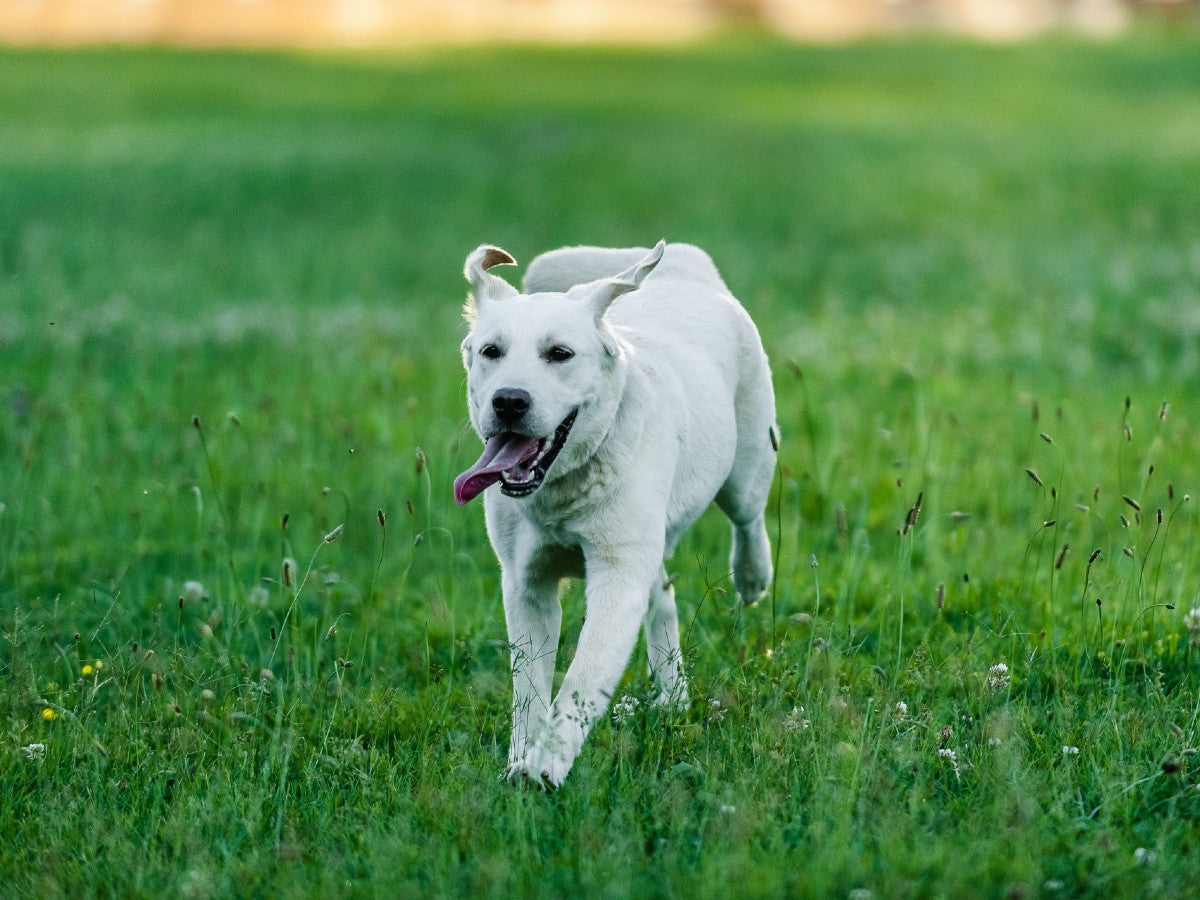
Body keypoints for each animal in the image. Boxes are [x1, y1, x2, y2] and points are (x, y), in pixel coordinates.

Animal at [451, 240, 777, 787]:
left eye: (560, 354)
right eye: (491, 351)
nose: (509, 401)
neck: (563, 487)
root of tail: (685, 266)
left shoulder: (617, 576)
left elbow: (582, 680)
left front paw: (546, 768)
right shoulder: (526, 583)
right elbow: (529, 688)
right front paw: (521, 762)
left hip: (748, 463)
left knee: (747, 517)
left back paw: (752, 577)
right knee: (662, 594)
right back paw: (672, 693)